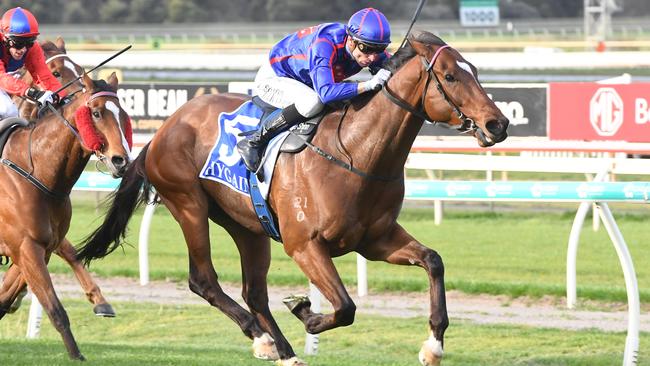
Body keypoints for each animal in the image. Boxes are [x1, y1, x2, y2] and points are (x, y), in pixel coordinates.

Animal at [0, 72, 132, 360]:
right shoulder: (26, 247)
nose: (121, 161)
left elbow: (5, 297)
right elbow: (54, 307)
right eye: (96, 112)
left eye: (123, 114)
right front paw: (76, 355)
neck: (36, 172)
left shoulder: (39, 247)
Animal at [77, 32, 506, 366]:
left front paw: (433, 346)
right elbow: (345, 307)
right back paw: (264, 339)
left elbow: (433, 261)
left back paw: (282, 348)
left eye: (475, 70)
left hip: (249, 226)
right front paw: (305, 311)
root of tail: (163, 129)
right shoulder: (305, 245)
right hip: (189, 205)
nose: (497, 124)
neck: (355, 152)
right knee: (204, 281)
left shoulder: (375, 240)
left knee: (254, 292)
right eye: (450, 75)